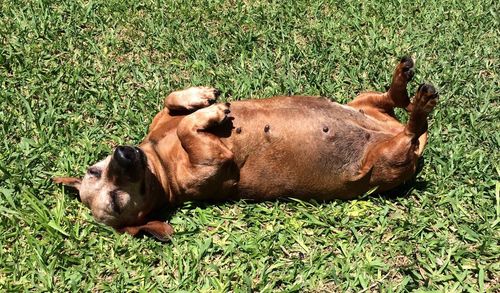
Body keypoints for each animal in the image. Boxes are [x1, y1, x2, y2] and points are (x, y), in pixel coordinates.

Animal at [53, 57, 438, 240]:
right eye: (116, 203)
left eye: (94, 170)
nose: (124, 153)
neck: (160, 162)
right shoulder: (209, 162)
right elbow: (191, 131)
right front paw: (209, 113)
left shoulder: (162, 120)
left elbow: (171, 101)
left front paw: (199, 98)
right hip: (387, 160)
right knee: (413, 129)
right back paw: (420, 105)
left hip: (363, 101)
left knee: (391, 100)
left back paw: (402, 79)